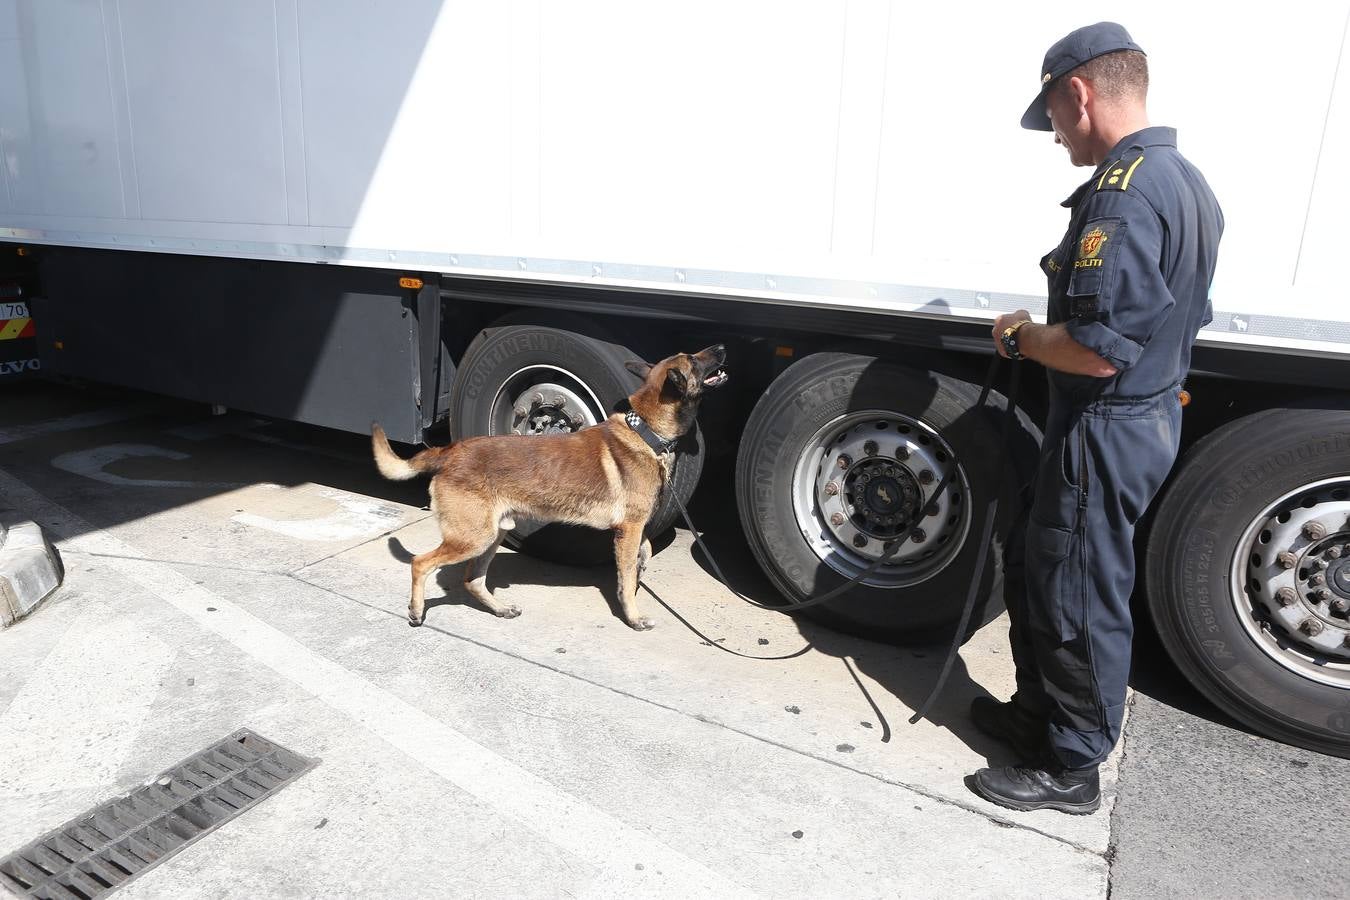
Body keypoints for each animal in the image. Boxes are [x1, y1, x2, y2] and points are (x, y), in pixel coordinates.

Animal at [369, 341, 729, 631]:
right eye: (693, 360)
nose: (722, 347)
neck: (645, 431)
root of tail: (450, 451)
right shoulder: (628, 529)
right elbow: (627, 579)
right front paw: (633, 616)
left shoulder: (633, 530)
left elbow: (646, 551)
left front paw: (641, 567)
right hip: (473, 537)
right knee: (420, 563)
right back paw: (416, 610)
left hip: (492, 534)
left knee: (472, 579)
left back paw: (500, 609)